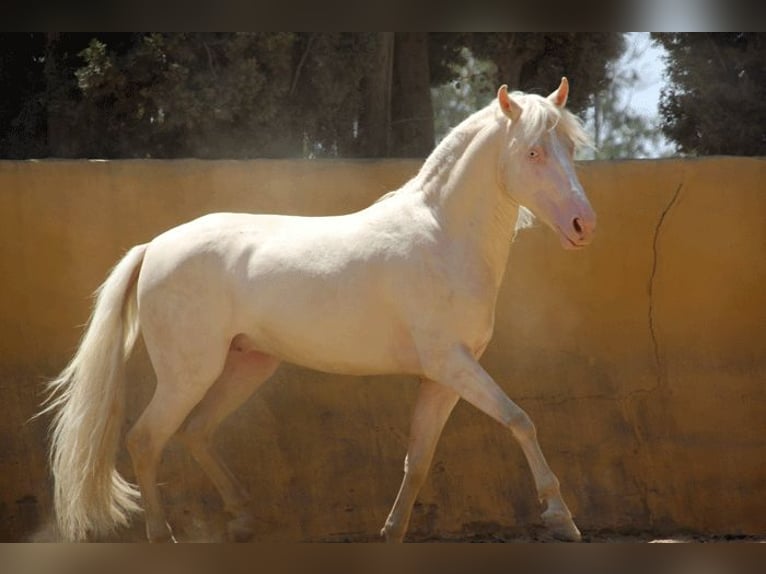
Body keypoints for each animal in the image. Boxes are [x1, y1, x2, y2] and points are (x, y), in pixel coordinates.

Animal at [42, 77, 596, 544]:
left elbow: (418, 459)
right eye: (533, 151)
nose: (583, 225)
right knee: (146, 439)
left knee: (196, 430)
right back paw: (164, 535)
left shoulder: (441, 379)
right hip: (188, 373)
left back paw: (242, 518)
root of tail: (154, 246)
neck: (441, 236)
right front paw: (561, 518)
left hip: (248, 364)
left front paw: (391, 532)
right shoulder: (452, 364)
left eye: (569, 148)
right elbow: (520, 419)